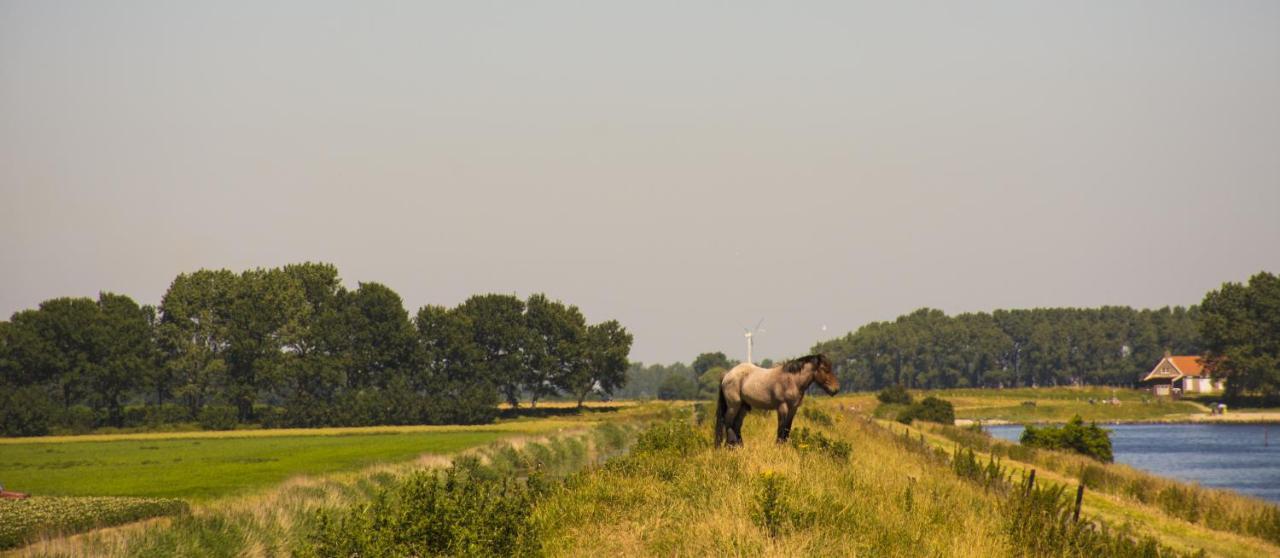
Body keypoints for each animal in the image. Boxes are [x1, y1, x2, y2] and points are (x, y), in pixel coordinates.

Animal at [711, 353, 839, 447]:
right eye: (824, 369)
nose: (836, 389)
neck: (792, 381)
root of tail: (727, 374)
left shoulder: (793, 409)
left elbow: (787, 429)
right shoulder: (782, 407)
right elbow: (781, 429)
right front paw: (778, 447)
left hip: (743, 407)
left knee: (736, 425)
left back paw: (740, 446)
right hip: (733, 406)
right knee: (728, 423)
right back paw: (730, 446)